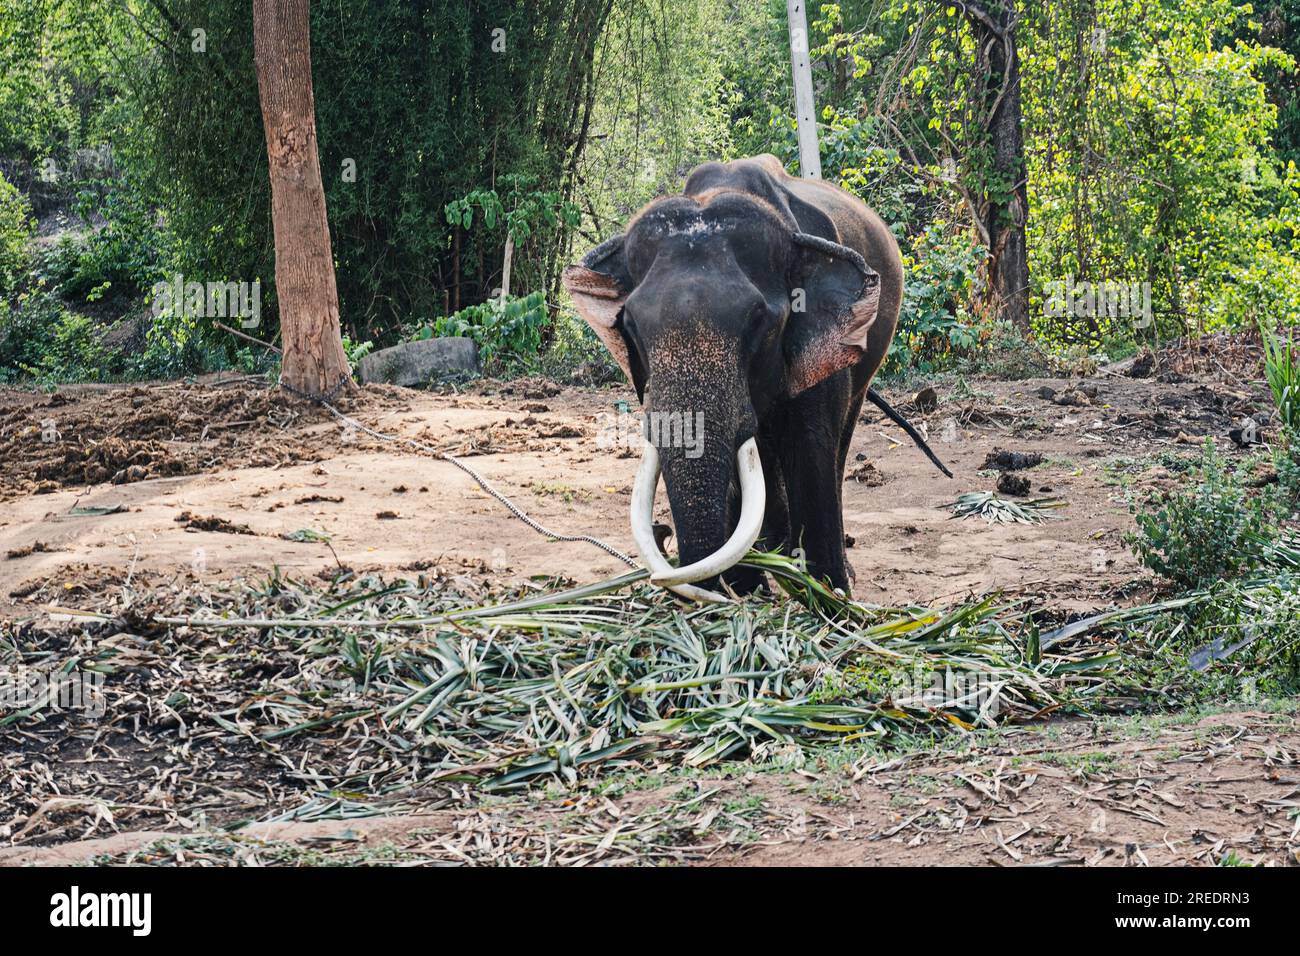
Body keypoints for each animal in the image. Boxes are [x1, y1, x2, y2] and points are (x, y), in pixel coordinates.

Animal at [564, 153, 909, 600]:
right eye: (632, 326)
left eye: (758, 321)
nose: (662, 532)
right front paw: (749, 592)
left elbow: (809, 446)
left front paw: (830, 599)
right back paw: (776, 554)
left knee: (840, 437)